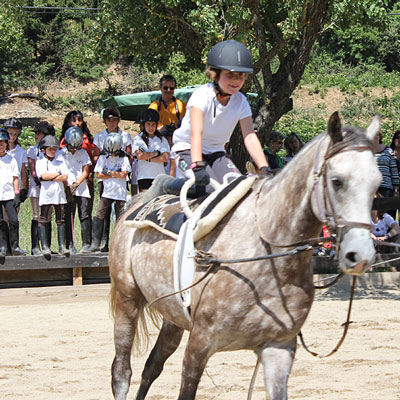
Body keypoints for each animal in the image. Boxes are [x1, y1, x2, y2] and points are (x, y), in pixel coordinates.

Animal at [108, 111, 382, 398]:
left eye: (377, 183)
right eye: (337, 181)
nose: (360, 255)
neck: (268, 258)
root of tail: (136, 204)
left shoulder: (279, 348)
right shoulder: (200, 343)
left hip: (173, 317)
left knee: (153, 365)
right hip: (128, 299)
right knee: (122, 371)